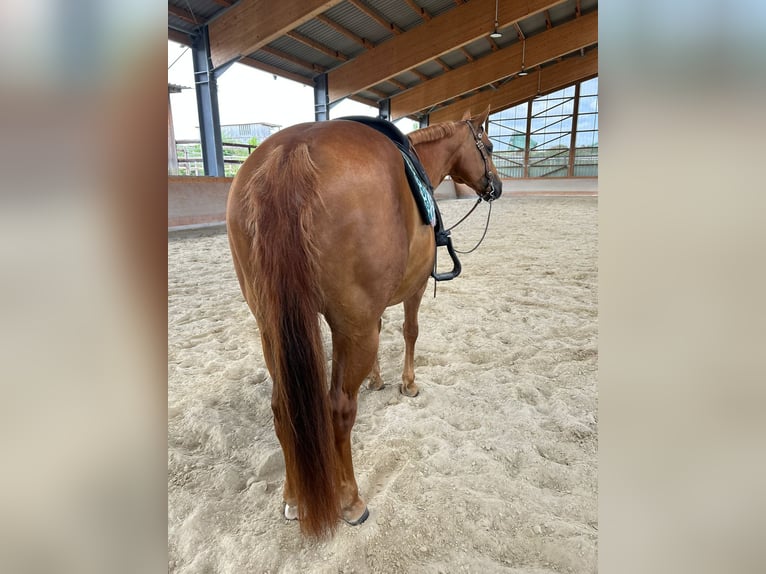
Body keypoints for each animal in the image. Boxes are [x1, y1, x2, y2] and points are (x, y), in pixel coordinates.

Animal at [226, 106, 502, 538]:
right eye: (487, 146)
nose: (497, 186)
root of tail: (289, 153)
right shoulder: (413, 289)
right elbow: (409, 331)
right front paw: (407, 383)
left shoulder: (372, 311)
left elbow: (384, 329)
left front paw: (376, 379)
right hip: (350, 327)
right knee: (339, 408)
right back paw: (351, 501)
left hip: (272, 328)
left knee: (281, 406)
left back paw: (293, 498)